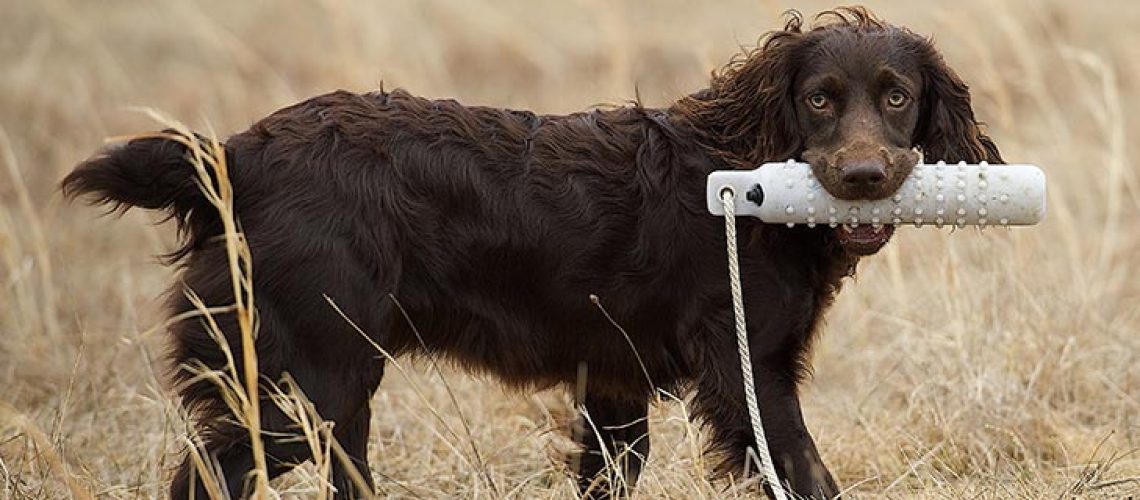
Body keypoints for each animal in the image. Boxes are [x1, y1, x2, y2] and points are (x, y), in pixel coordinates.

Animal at [60, 7, 998, 500]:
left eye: (897, 97)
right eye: (818, 100)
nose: (864, 177)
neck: (738, 161)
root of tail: (233, 155)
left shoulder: (613, 387)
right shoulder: (749, 374)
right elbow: (808, 473)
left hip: (333, 387)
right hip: (304, 383)